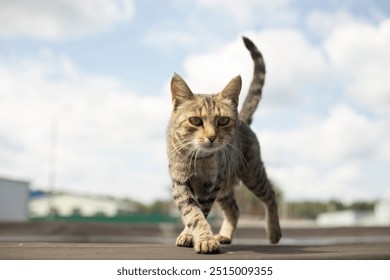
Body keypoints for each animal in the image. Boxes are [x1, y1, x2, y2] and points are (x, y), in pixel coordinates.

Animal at [166, 36, 282, 254]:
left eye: (223, 121)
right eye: (195, 121)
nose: (212, 137)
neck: (200, 159)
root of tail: (243, 118)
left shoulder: (210, 185)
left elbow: (199, 212)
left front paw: (199, 238)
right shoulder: (181, 182)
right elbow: (192, 212)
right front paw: (200, 237)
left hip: (251, 173)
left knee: (270, 195)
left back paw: (274, 232)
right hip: (225, 186)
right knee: (234, 209)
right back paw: (225, 235)